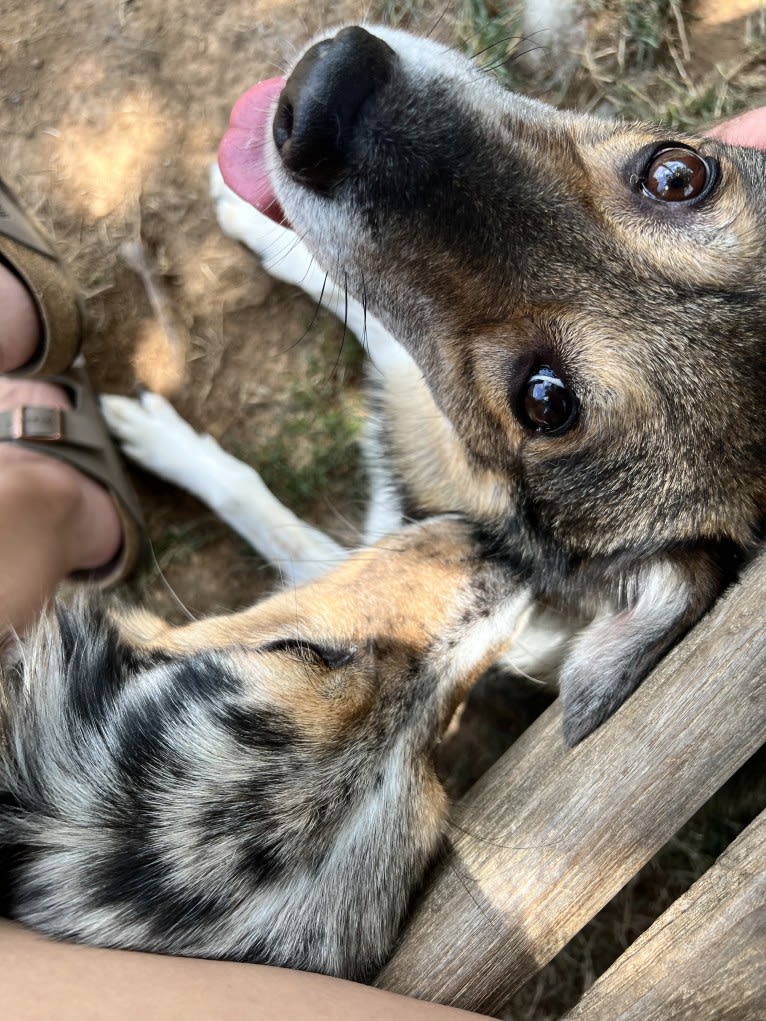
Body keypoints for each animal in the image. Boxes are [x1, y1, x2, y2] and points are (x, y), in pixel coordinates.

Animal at [1, 19, 766, 980]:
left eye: (546, 400)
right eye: (675, 175)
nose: (331, 85)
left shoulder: (355, 555)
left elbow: (264, 501)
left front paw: (160, 438)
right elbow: (347, 298)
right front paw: (247, 214)